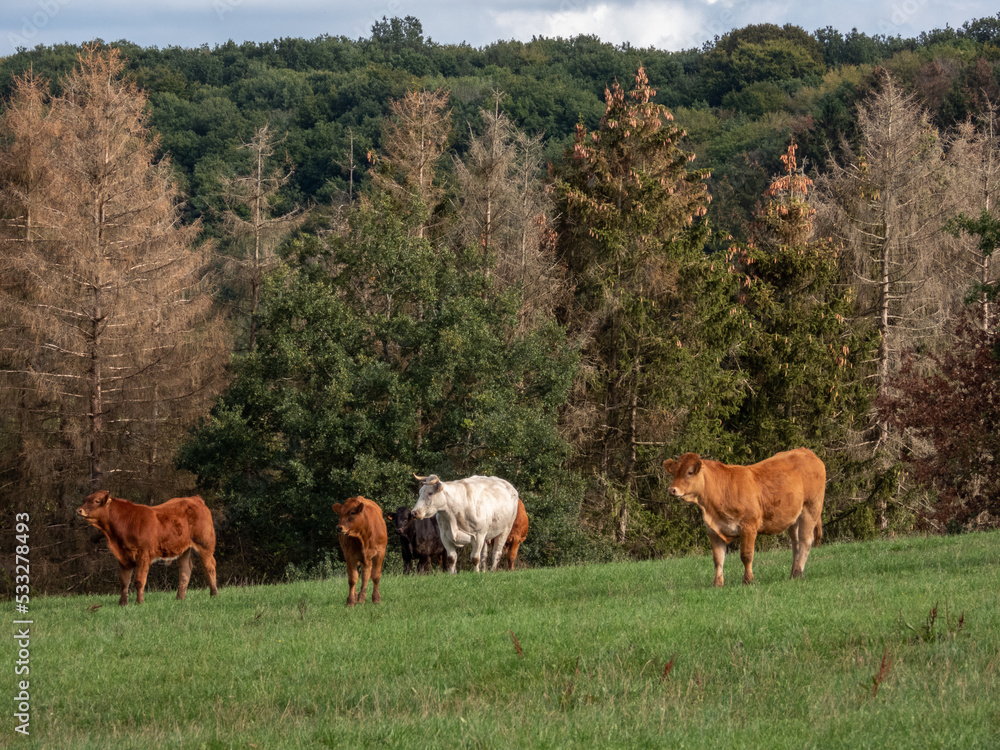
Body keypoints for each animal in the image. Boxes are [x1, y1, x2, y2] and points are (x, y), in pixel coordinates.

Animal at [76, 490, 219, 606]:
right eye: (86, 499)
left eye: (96, 501)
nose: (79, 510)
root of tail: (194, 498)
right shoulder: (123, 557)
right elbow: (124, 582)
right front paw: (122, 603)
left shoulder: (143, 554)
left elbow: (139, 580)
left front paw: (139, 602)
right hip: (183, 549)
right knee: (185, 570)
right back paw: (180, 598)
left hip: (205, 545)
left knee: (209, 567)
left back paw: (214, 594)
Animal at [663, 448, 825, 587]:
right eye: (674, 472)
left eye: (689, 472)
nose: (672, 489)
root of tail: (807, 452)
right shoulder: (713, 530)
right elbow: (718, 559)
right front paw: (717, 583)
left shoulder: (748, 526)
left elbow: (746, 555)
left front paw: (748, 580)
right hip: (793, 517)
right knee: (796, 543)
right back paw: (793, 573)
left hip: (811, 508)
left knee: (805, 541)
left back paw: (798, 572)